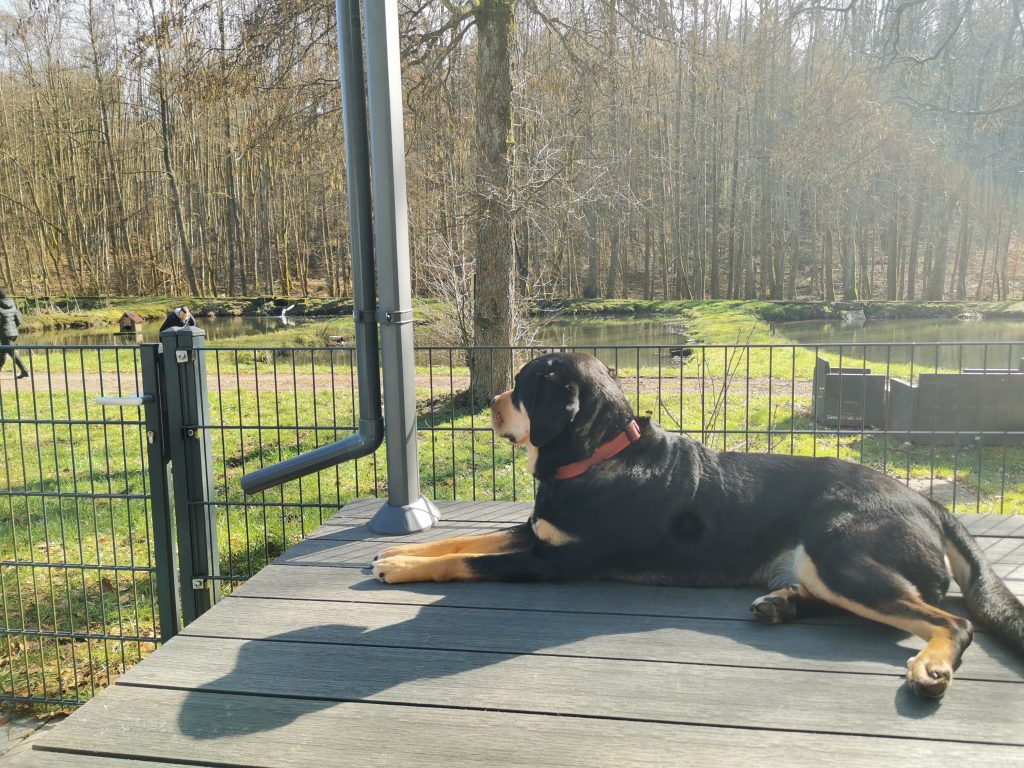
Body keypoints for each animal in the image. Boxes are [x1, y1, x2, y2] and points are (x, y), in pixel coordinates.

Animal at [373, 352, 1024, 698]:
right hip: (826, 562)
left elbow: (471, 559)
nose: (489, 405)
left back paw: (931, 664)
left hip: (841, 550)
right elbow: (465, 538)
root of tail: (929, 504)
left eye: (525, 389)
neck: (599, 453)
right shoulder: (537, 533)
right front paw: (397, 554)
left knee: (948, 620)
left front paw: (403, 565)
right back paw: (782, 603)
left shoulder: (552, 559)